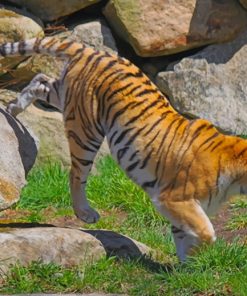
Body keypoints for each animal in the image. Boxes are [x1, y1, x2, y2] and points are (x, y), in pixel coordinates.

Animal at [0, 37, 246, 262]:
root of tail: (93, 51)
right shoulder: (174, 199)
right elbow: (206, 233)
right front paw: (192, 263)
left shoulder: (182, 209)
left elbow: (183, 238)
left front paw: (183, 269)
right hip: (85, 128)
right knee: (76, 173)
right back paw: (85, 213)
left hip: (67, 96)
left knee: (40, 80)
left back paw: (12, 108)